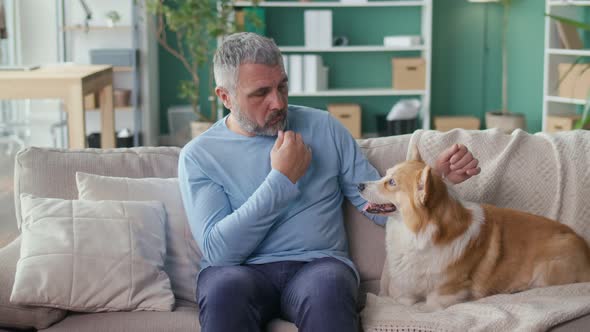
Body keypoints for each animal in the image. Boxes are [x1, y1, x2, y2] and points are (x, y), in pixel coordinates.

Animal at [356, 147, 590, 310]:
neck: (419, 232)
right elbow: (404, 300)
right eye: (385, 175)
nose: (359, 185)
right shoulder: (406, 292)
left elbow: (427, 307)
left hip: (548, 269)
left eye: (392, 183)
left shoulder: (445, 295)